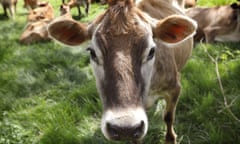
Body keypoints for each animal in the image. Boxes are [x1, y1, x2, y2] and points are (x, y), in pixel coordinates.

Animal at [47, 0, 197, 143]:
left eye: (152, 51)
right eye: (92, 52)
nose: (124, 128)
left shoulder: (175, 89)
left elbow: (168, 117)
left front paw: (171, 138)